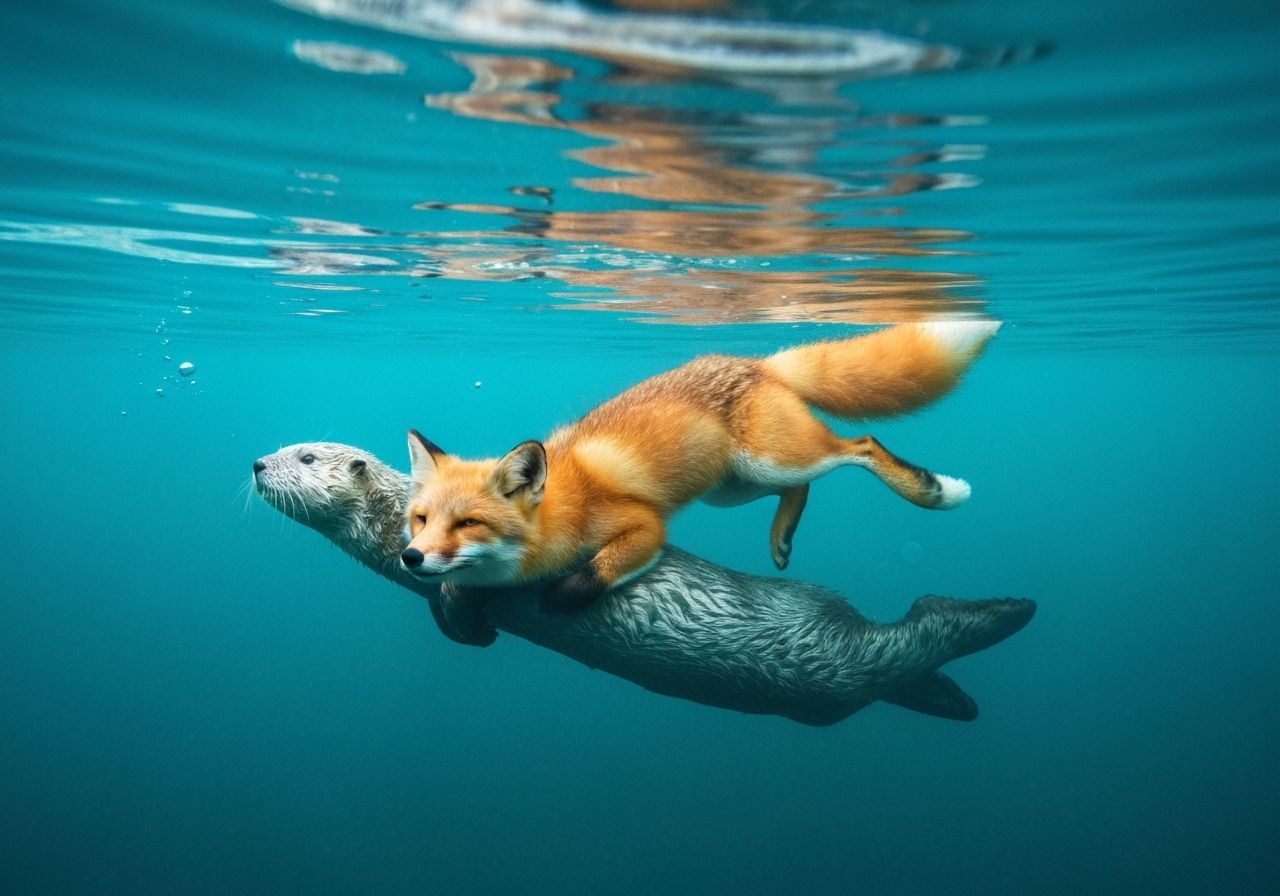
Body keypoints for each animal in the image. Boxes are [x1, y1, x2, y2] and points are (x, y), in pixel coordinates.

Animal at [253, 441, 1034, 726]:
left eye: (306, 455)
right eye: (284, 447)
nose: (259, 463)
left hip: (827, 662)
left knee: (918, 628)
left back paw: (1012, 610)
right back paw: (955, 697)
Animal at [400, 319, 1000, 612]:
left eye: (469, 523)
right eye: (421, 521)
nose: (410, 557)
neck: (560, 507)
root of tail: (759, 362)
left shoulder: (645, 527)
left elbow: (600, 569)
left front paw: (563, 596)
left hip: (773, 461)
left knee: (862, 445)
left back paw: (934, 491)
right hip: (735, 487)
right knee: (804, 486)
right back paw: (782, 539)